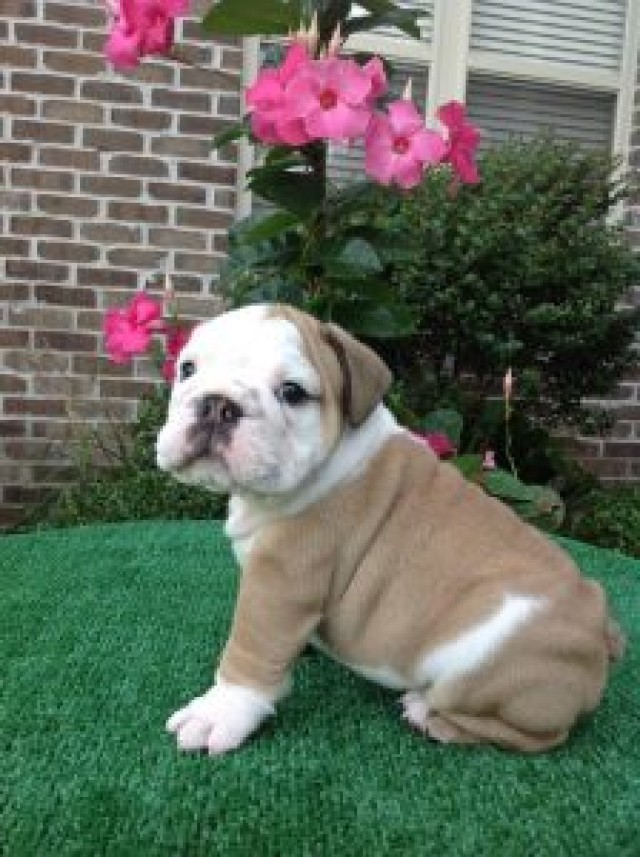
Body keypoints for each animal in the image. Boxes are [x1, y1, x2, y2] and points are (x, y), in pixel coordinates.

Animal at [158, 302, 624, 756]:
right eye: (188, 369)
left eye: (292, 392)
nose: (217, 404)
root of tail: (601, 629)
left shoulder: (282, 579)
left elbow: (250, 652)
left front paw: (220, 711)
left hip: (484, 669)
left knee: (533, 735)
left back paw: (428, 714)